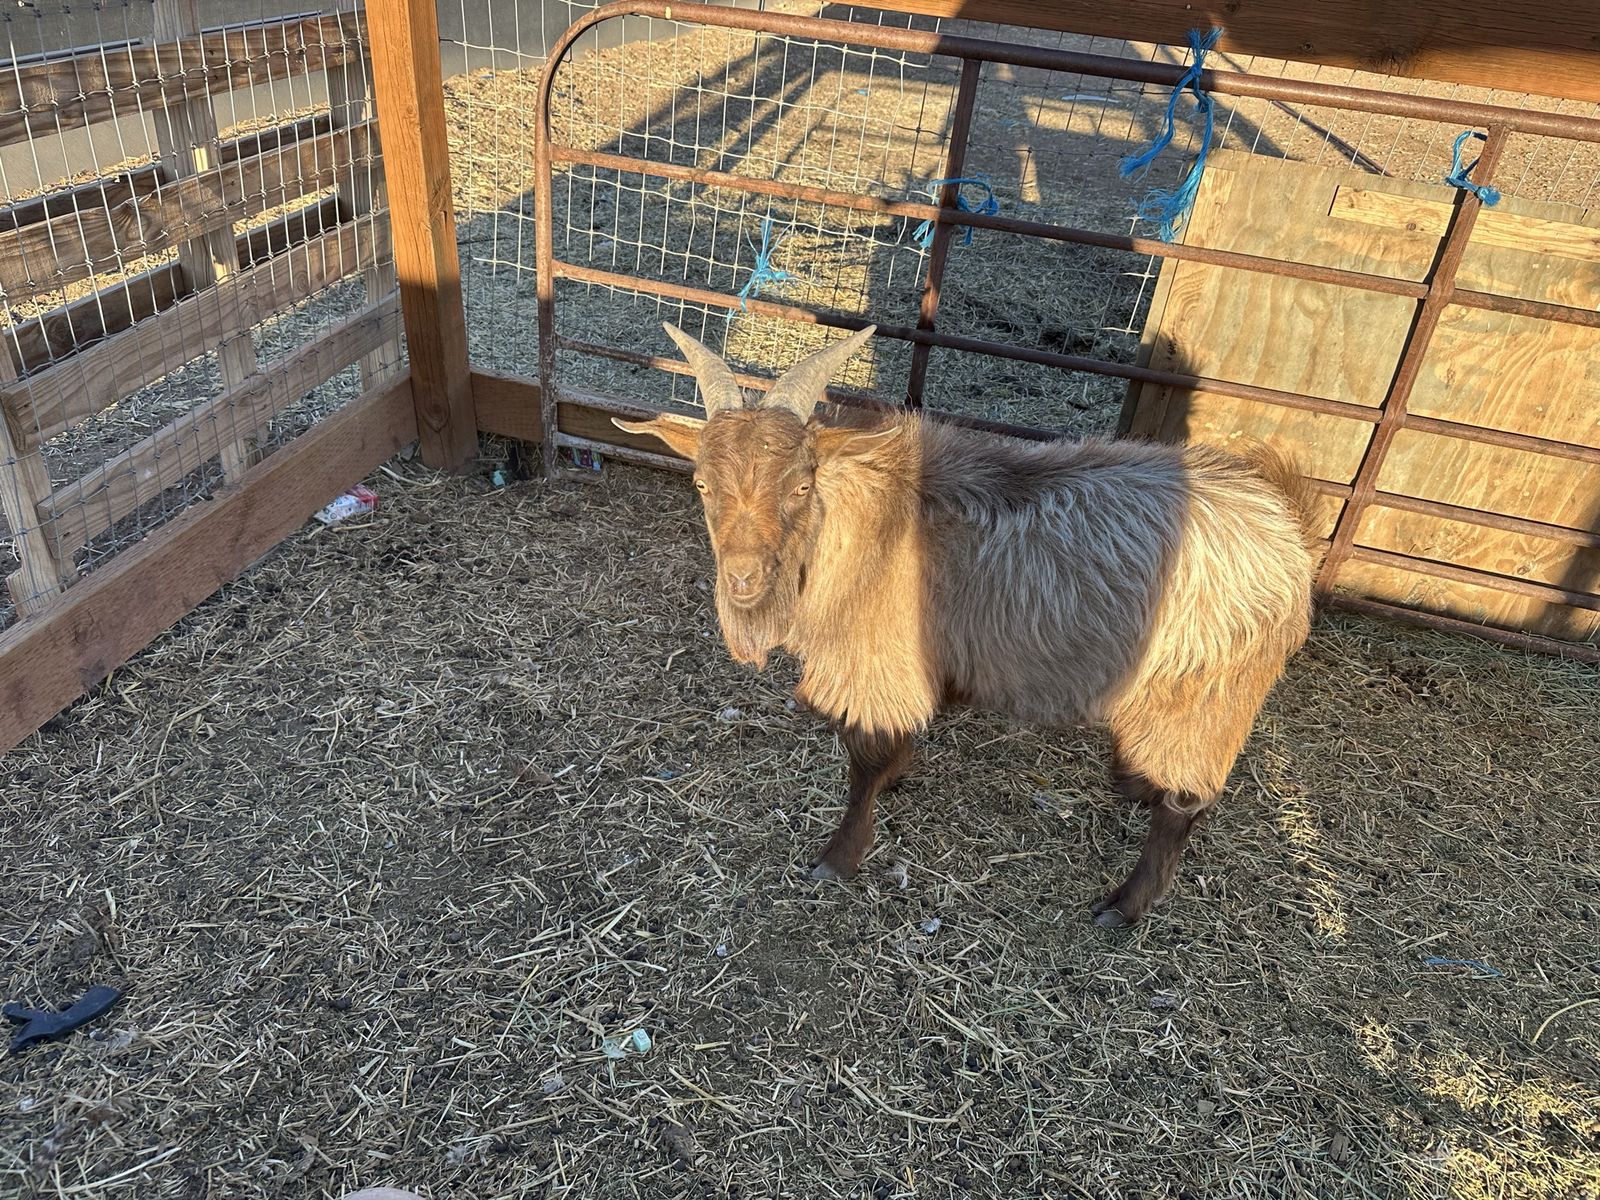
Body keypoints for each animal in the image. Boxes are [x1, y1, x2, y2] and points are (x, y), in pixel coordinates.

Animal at [617, 323, 1319, 926]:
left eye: (800, 485)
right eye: (702, 485)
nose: (743, 580)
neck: (866, 528)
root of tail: (1284, 525)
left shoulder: (877, 667)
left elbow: (864, 763)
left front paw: (838, 859)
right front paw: (899, 779)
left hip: (1205, 697)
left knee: (1184, 807)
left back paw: (1124, 904)